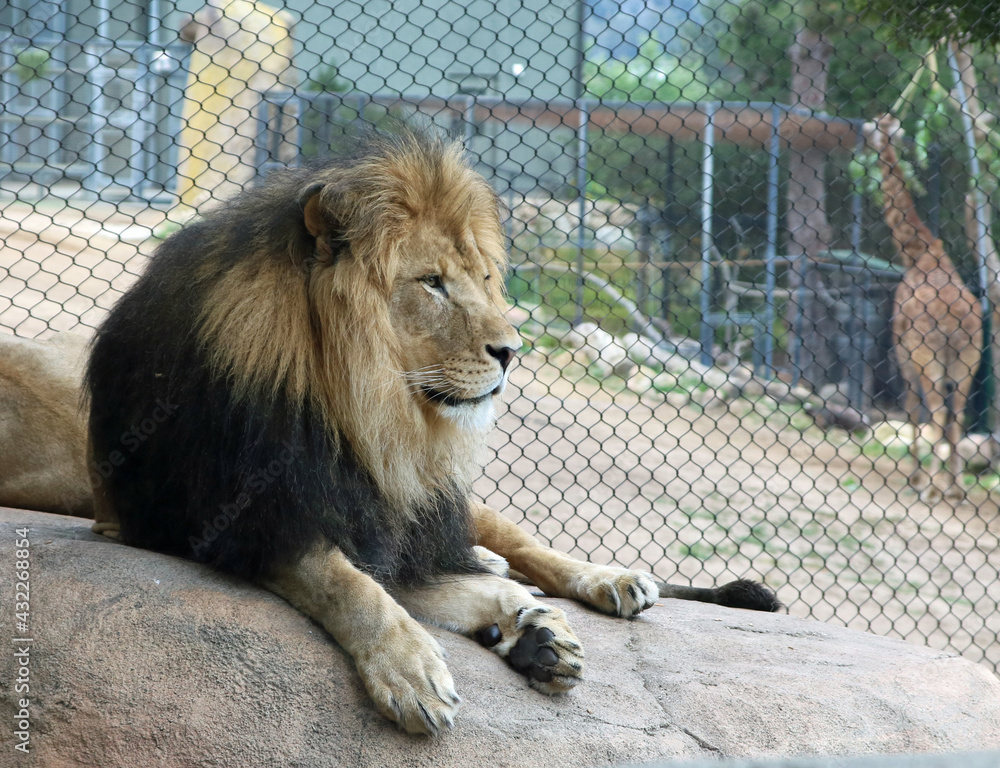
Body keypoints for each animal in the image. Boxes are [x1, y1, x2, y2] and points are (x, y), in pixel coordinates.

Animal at [85, 126, 777, 735]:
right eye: (432, 283)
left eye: (484, 278)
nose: (512, 350)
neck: (365, 412)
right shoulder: (251, 522)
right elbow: (351, 585)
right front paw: (414, 668)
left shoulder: (390, 523)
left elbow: (422, 581)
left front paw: (520, 622)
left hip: (453, 505)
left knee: (524, 547)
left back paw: (603, 583)